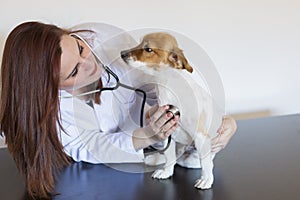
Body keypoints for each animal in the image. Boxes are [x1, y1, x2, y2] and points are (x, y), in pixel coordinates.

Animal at [120, 32, 223, 189]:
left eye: (148, 49)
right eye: (139, 43)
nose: (122, 54)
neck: (167, 87)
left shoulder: (201, 136)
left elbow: (206, 163)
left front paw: (206, 179)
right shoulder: (167, 132)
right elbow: (169, 157)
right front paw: (166, 172)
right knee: (173, 157)